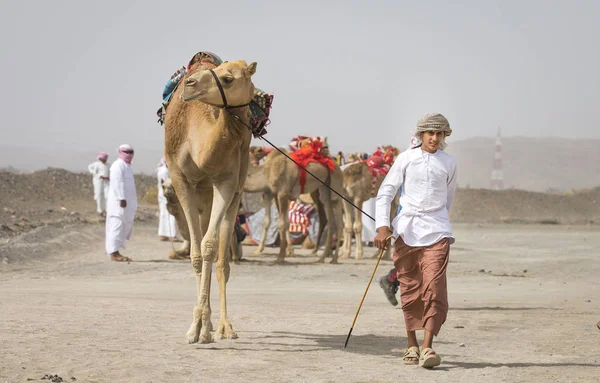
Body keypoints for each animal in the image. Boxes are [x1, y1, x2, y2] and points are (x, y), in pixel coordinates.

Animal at [164, 59, 258, 344]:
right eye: (217, 71)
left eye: (228, 79)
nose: (189, 84)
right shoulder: (179, 178)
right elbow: (196, 254)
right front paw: (195, 327)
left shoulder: (226, 181)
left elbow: (208, 246)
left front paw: (203, 327)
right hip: (202, 190)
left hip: (234, 191)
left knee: (221, 261)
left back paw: (224, 327)